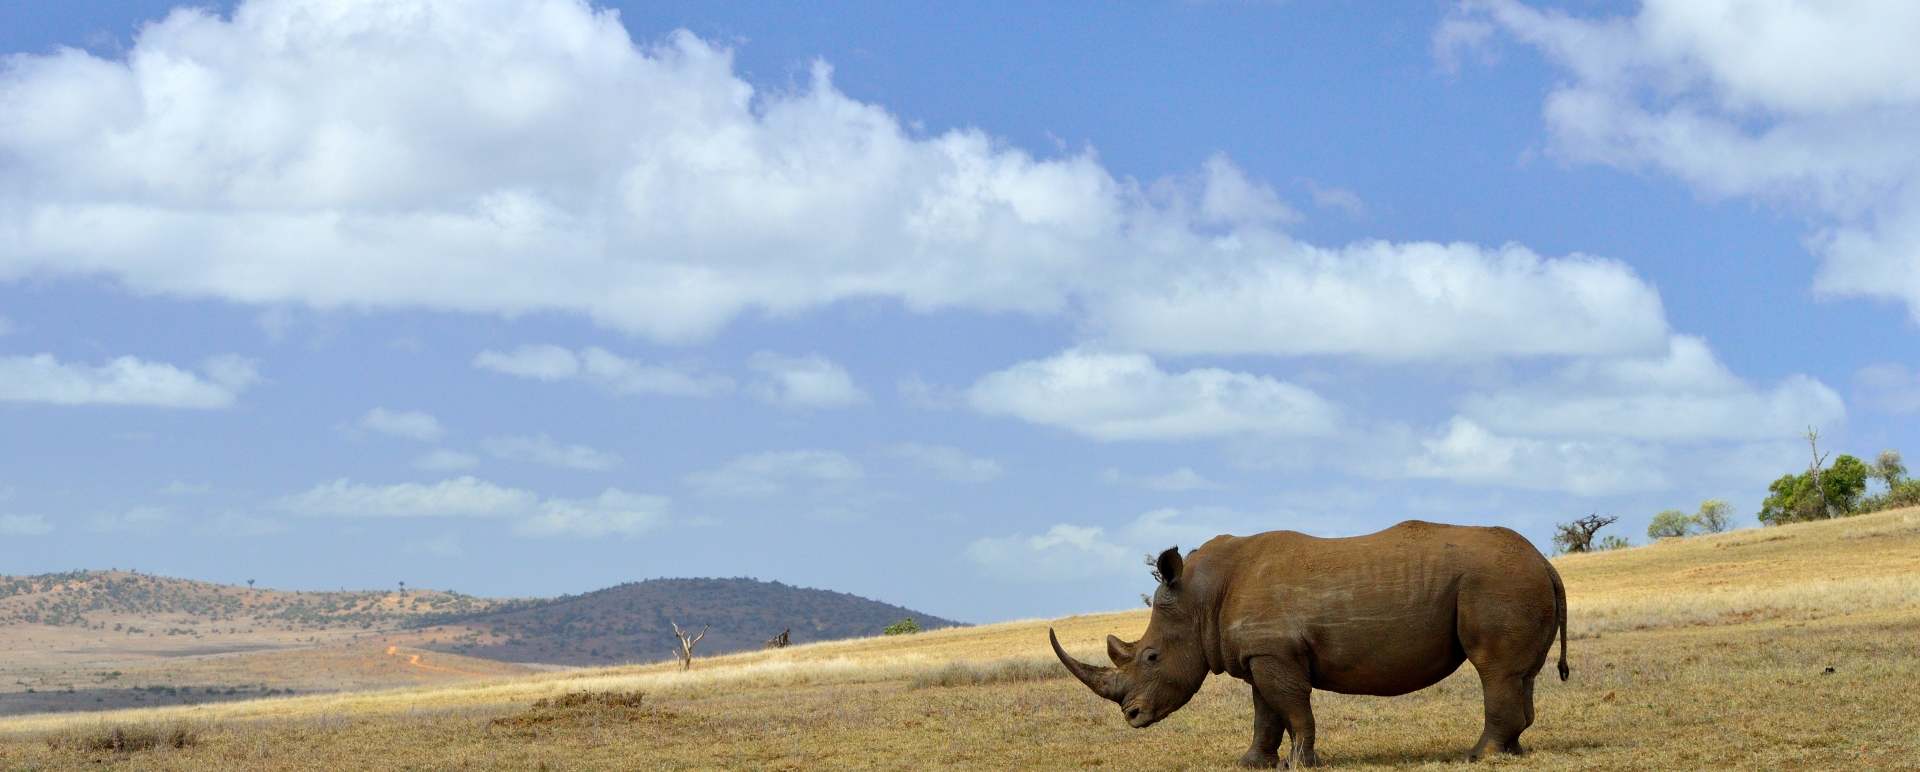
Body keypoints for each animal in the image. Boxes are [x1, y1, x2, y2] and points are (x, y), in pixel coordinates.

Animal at [1050, 520, 1568, 768]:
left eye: (1152, 656)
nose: (1132, 716)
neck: (1200, 597)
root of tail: (1544, 561)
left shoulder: (1276, 653)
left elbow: (1294, 708)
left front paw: (1301, 763)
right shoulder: (1262, 654)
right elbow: (1266, 713)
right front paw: (1252, 763)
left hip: (1497, 582)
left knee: (1492, 667)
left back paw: (1479, 755)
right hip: (1513, 580)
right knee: (1519, 675)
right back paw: (1511, 752)